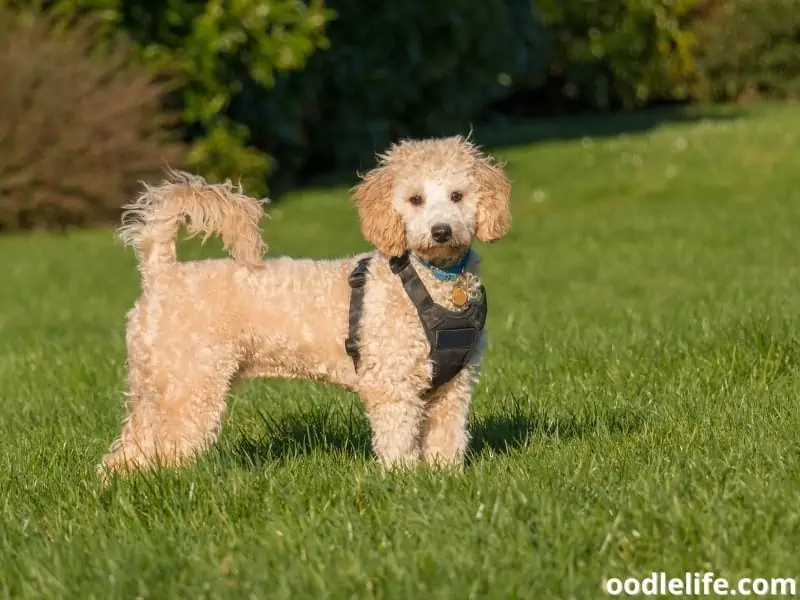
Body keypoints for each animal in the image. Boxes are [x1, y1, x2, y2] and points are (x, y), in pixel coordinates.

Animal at [98, 134, 512, 480]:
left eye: (457, 196)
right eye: (415, 199)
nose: (441, 231)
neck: (431, 283)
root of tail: (162, 272)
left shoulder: (453, 386)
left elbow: (446, 440)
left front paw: (444, 479)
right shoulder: (393, 384)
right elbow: (397, 439)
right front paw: (404, 480)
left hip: (154, 385)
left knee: (128, 451)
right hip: (190, 385)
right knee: (168, 450)